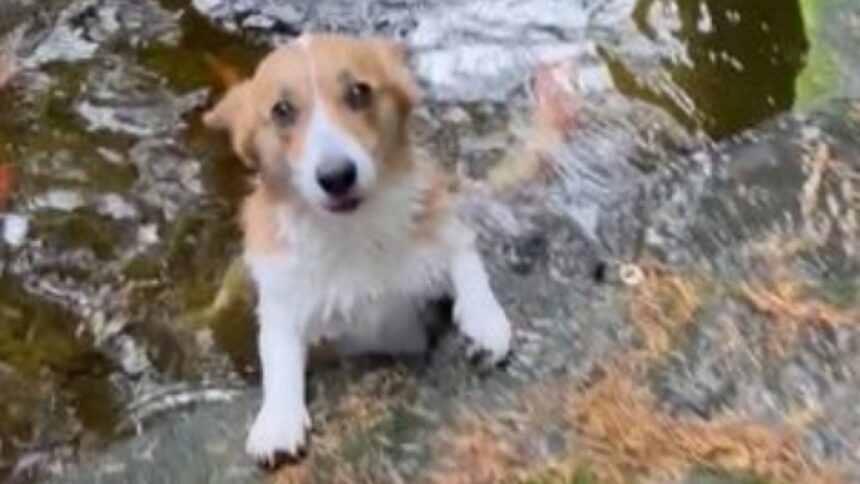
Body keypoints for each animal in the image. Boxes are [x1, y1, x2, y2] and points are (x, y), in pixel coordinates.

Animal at [203, 33, 510, 466]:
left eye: (358, 92)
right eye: (282, 111)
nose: (337, 177)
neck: (352, 231)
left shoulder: (443, 233)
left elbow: (467, 263)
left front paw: (484, 321)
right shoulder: (282, 303)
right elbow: (278, 354)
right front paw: (278, 419)